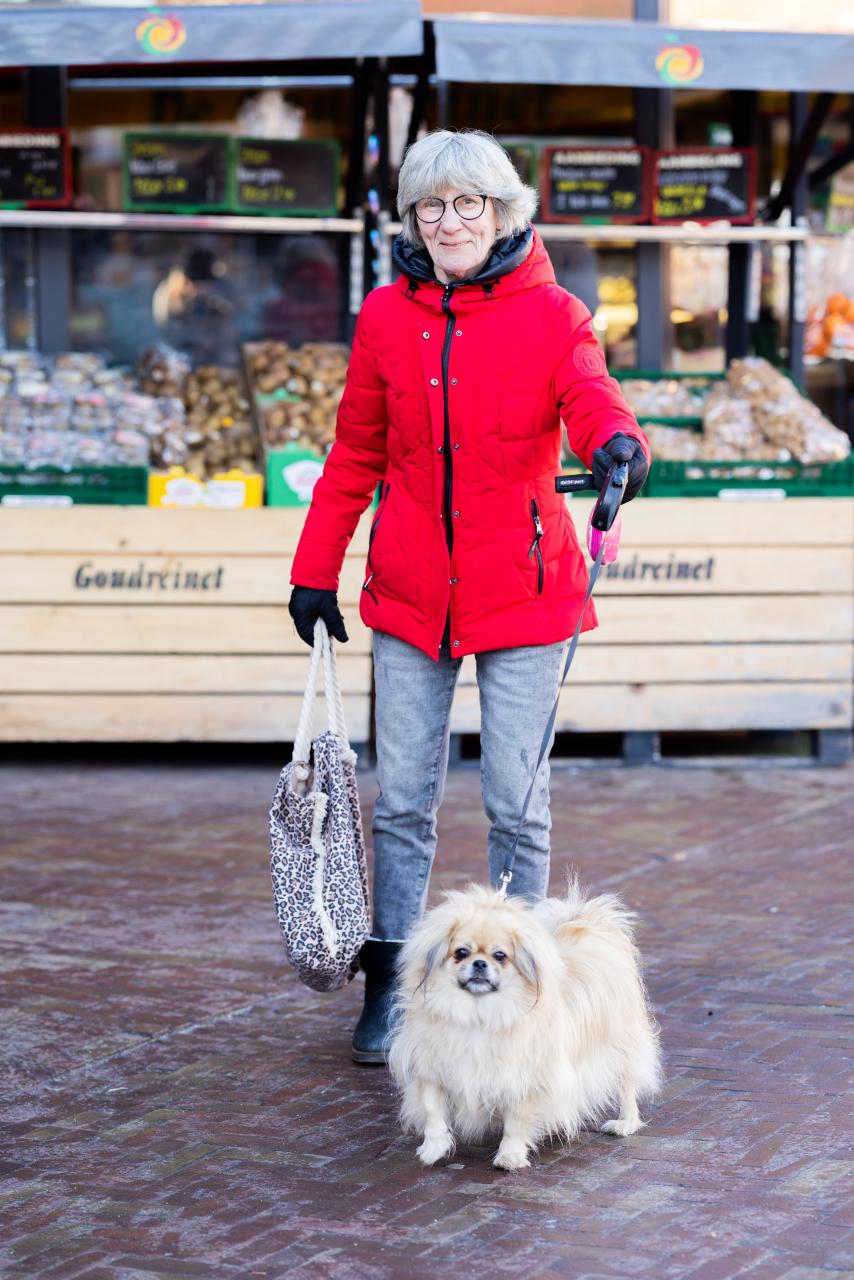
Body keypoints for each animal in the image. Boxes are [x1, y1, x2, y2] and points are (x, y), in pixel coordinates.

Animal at [386, 880, 660, 1172]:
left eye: (500, 956)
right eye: (461, 953)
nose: (479, 963)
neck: (478, 1014)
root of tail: (589, 924)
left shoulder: (524, 1079)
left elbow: (516, 1123)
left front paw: (510, 1156)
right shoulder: (433, 1068)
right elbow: (433, 1112)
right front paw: (432, 1149)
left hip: (621, 1050)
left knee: (626, 1086)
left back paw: (625, 1123)